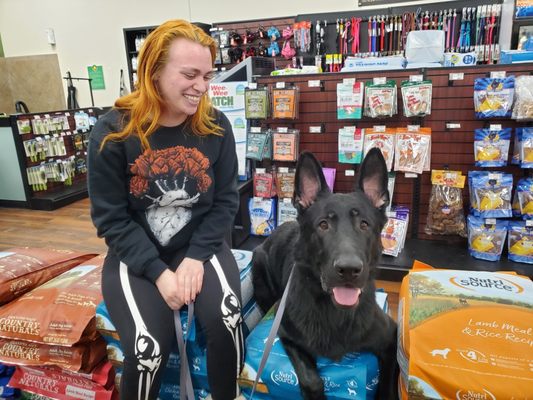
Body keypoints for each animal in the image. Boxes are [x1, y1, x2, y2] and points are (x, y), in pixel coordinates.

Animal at [251, 149, 396, 400]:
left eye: (364, 225)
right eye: (323, 225)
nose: (348, 269)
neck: (334, 312)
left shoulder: (389, 337)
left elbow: (388, 385)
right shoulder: (287, 335)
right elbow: (311, 379)